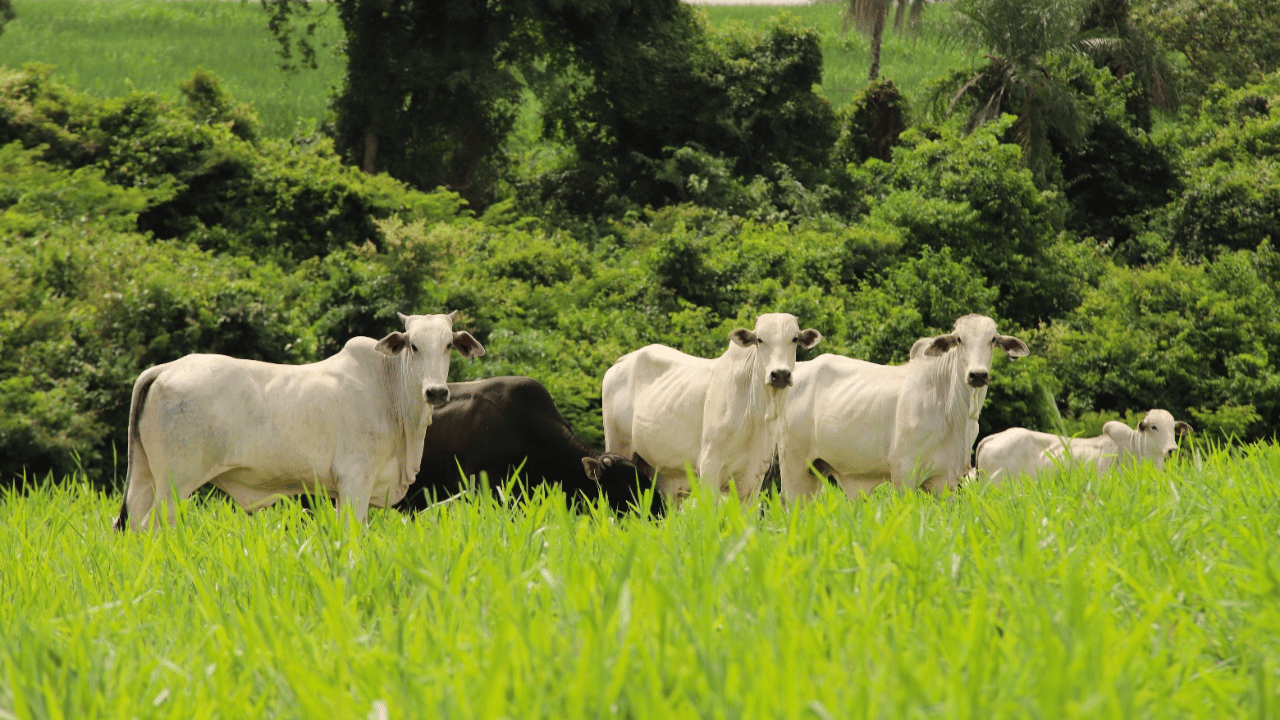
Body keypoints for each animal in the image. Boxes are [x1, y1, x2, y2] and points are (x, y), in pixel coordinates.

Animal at [112, 308, 483, 527]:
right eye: (414, 346)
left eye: (448, 345)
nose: (436, 392)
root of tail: (164, 368)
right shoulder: (355, 479)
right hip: (176, 483)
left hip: (145, 477)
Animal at [599, 311, 819, 502]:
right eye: (760, 339)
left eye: (794, 339)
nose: (780, 374)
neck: (756, 415)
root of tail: (621, 361)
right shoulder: (709, 467)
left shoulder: (754, 476)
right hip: (618, 445)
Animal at [778, 313, 1029, 499]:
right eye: (959, 339)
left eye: (993, 339)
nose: (978, 375)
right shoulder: (903, 471)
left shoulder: (944, 480)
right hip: (793, 465)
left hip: (815, 471)